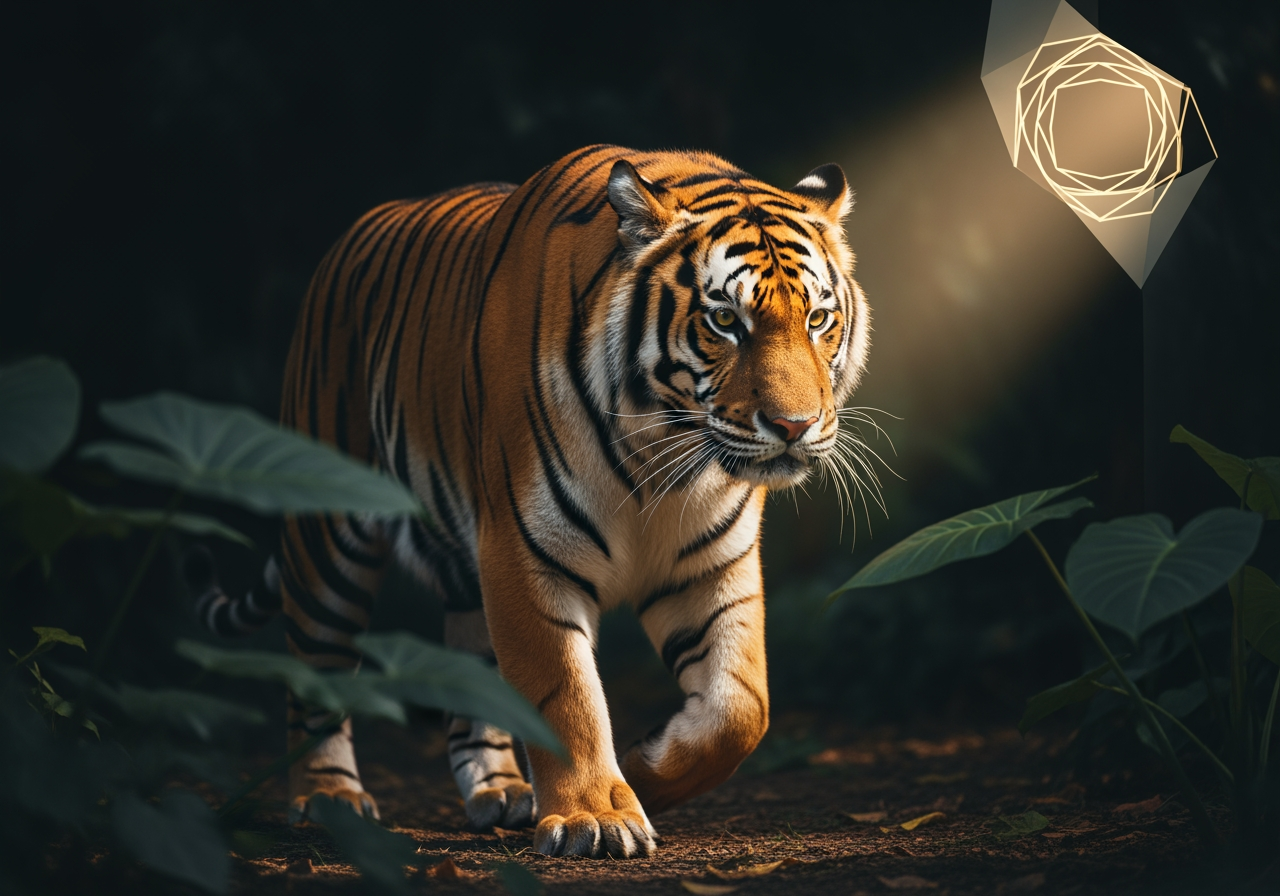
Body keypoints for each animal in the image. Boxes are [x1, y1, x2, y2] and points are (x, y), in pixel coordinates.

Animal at [186, 144, 871, 858]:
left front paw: (646, 769)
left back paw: (502, 792)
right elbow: (563, 695)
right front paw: (596, 817)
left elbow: (741, 709)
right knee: (315, 671)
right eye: (725, 321)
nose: (794, 426)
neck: (660, 455)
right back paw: (329, 798)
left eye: (818, 318)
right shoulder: (526, 553)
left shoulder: (713, 567)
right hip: (326, 531)